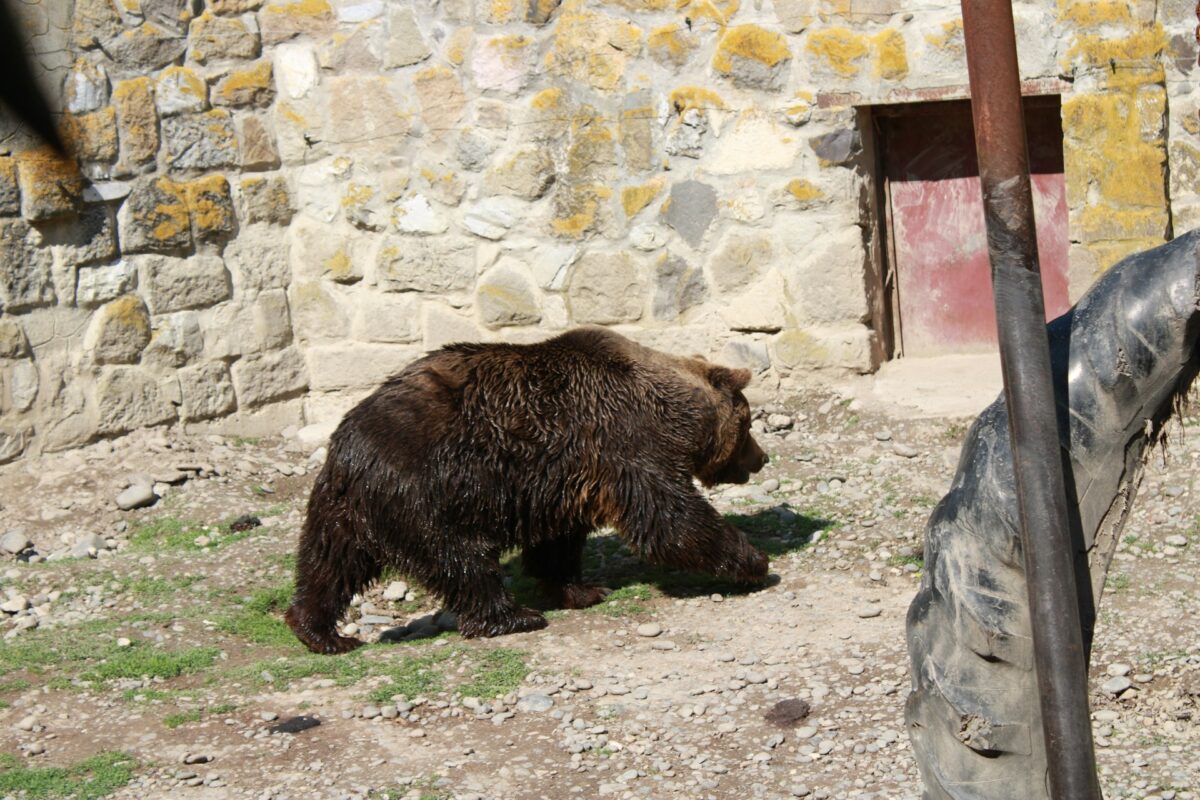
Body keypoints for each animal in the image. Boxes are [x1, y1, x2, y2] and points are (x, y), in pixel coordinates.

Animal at [285, 328, 763, 652]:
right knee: (460, 557)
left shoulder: (568, 477)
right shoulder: (625, 442)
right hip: (424, 489)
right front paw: (753, 562)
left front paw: (583, 590)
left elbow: (557, 546)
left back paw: (318, 631)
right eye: (748, 424)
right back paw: (514, 616)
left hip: (342, 505)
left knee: (328, 564)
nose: (761, 459)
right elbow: (668, 520)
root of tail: (349, 447)